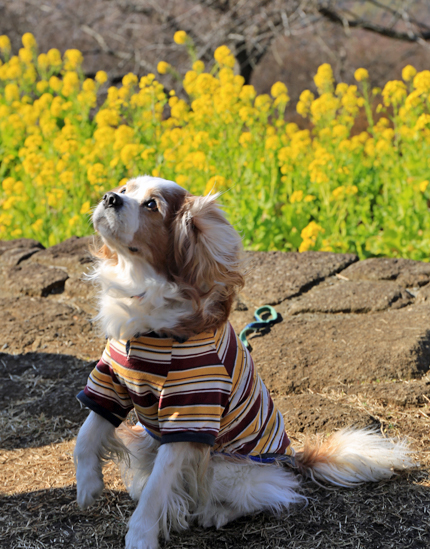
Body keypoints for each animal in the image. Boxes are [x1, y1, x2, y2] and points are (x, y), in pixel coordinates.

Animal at [74, 176, 416, 548]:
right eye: (125, 188)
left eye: (152, 205)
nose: (109, 197)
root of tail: (293, 458)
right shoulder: (111, 381)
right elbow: (86, 434)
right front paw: (88, 486)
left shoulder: (191, 414)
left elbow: (156, 490)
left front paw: (140, 536)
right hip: (143, 439)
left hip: (225, 466)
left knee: (271, 493)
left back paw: (217, 513)